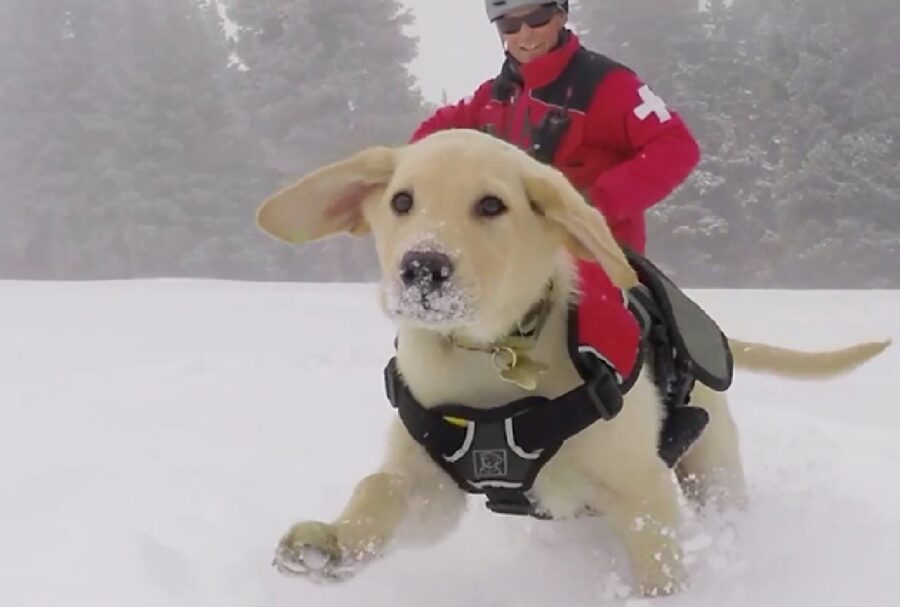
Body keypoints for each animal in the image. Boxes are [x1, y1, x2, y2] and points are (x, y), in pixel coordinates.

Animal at [256, 129, 888, 600]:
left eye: (492, 205)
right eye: (402, 202)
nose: (422, 269)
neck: (492, 358)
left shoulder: (641, 489)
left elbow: (660, 566)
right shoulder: (428, 480)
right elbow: (379, 489)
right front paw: (332, 543)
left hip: (712, 467)